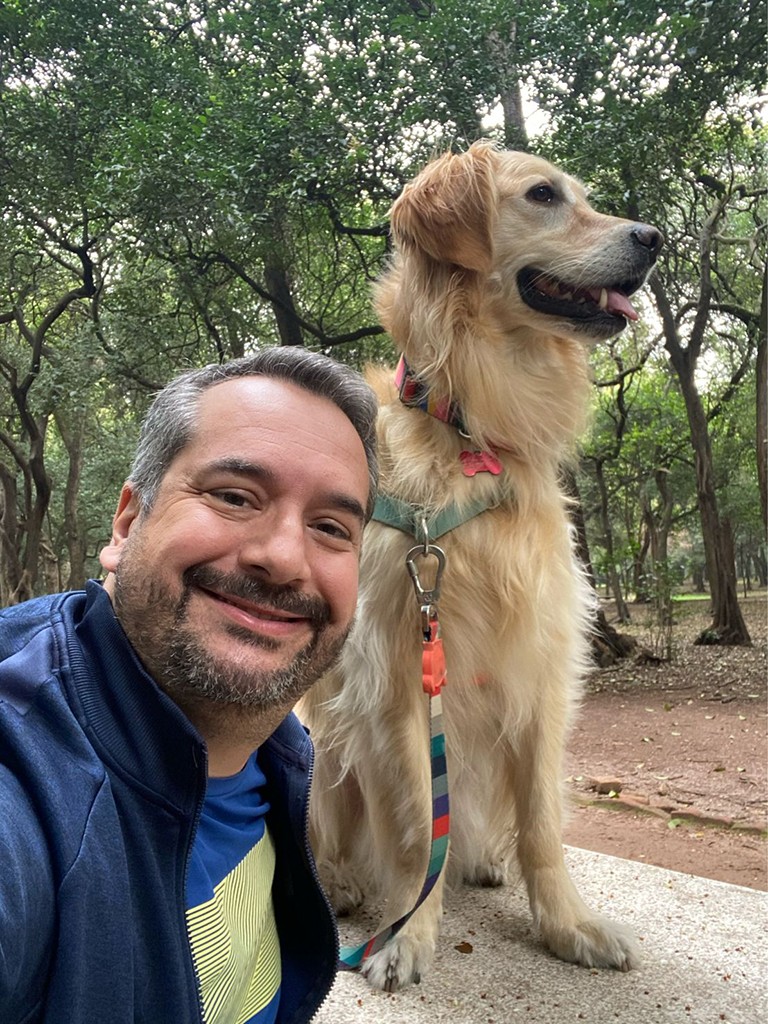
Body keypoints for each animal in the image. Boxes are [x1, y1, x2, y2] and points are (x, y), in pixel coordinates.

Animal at [298, 141, 662, 991]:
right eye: (542, 196)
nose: (655, 238)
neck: (474, 435)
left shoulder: (543, 664)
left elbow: (542, 825)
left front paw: (567, 926)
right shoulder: (396, 675)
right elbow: (411, 831)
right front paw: (407, 934)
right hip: (329, 747)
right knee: (338, 830)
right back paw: (344, 882)